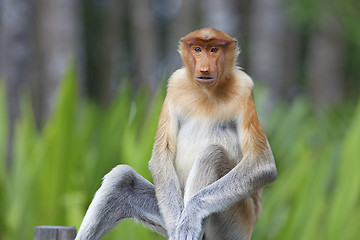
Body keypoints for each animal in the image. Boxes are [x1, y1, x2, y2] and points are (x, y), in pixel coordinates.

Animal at [75, 27, 278, 240]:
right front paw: (176, 227)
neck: (206, 93)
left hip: (238, 221)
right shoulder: (175, 85)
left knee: (211, 155)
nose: (204, 69)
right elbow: (161, 157)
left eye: (214, 50)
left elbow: (262, 165)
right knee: (122, 179)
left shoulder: (244, 88)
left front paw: (190, 217)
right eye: (197, 49)